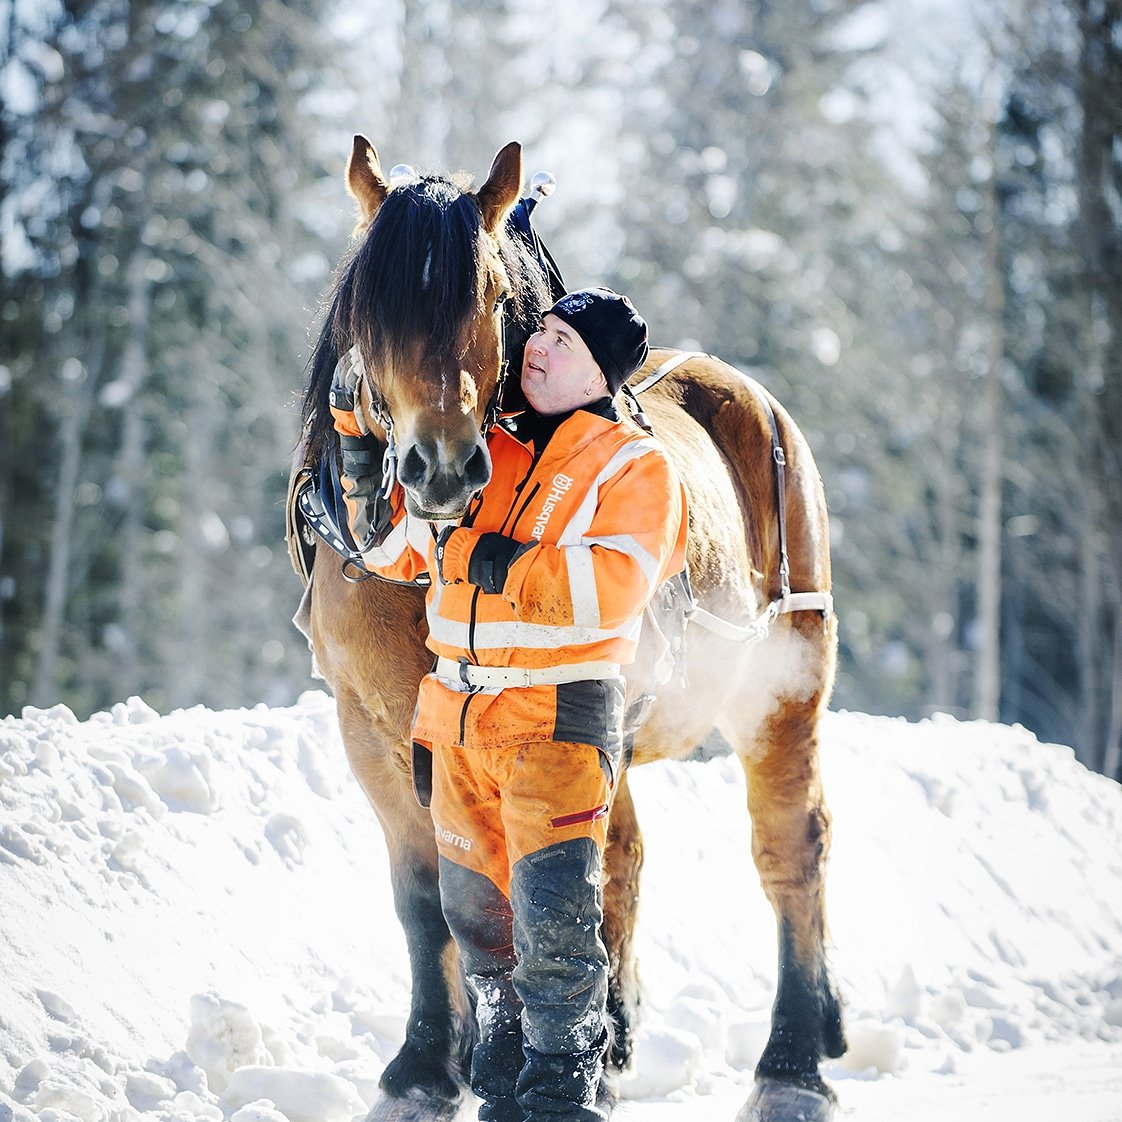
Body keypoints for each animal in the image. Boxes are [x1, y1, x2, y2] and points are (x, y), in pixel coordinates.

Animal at [293, 138, 843, 1122]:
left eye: (487, 298)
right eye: (370, 309)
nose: (441, 470)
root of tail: (751, 399)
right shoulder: (372, 730)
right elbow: (427, 898)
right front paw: (429, 1066)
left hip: (780, 689)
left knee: (791, 849)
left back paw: (791, 1063)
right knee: (618, 859)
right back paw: (614, 1044)